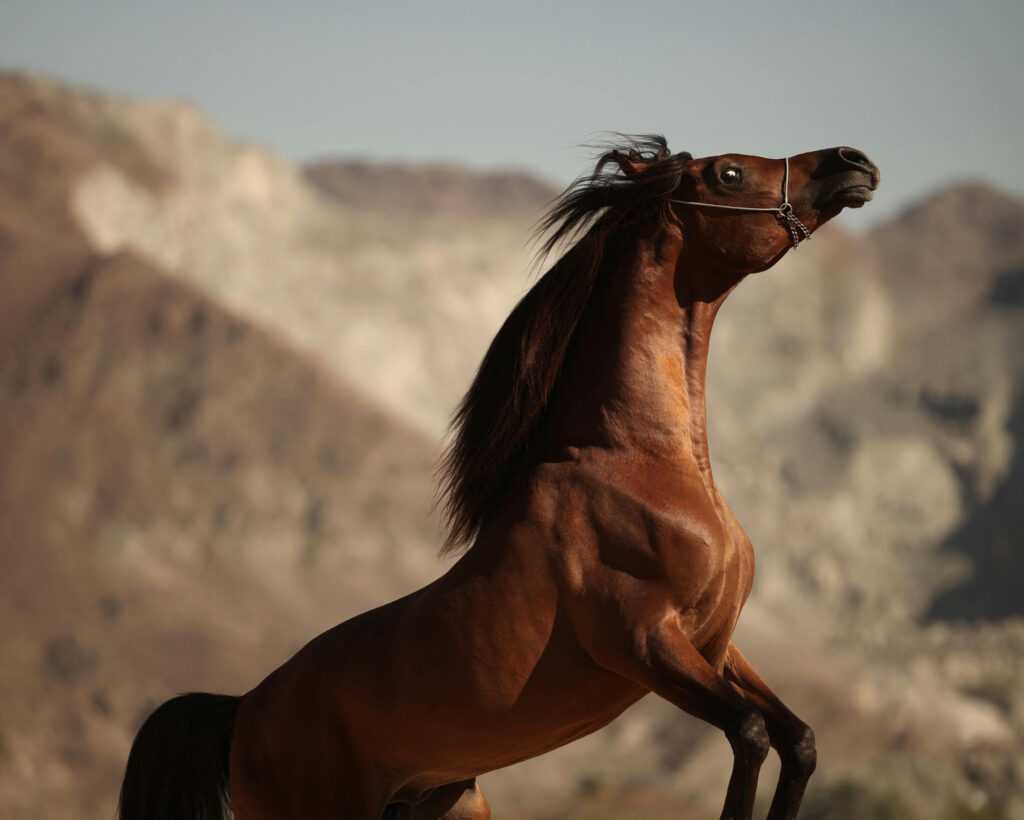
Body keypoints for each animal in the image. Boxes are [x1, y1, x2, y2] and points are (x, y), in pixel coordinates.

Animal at [117, 136, 880, 820]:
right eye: (728, 174)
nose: (855, 163)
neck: (639, 463)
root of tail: (243, 710)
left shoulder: (717, 645)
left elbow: (797, 741)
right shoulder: (644, 641)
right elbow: (750, 736)